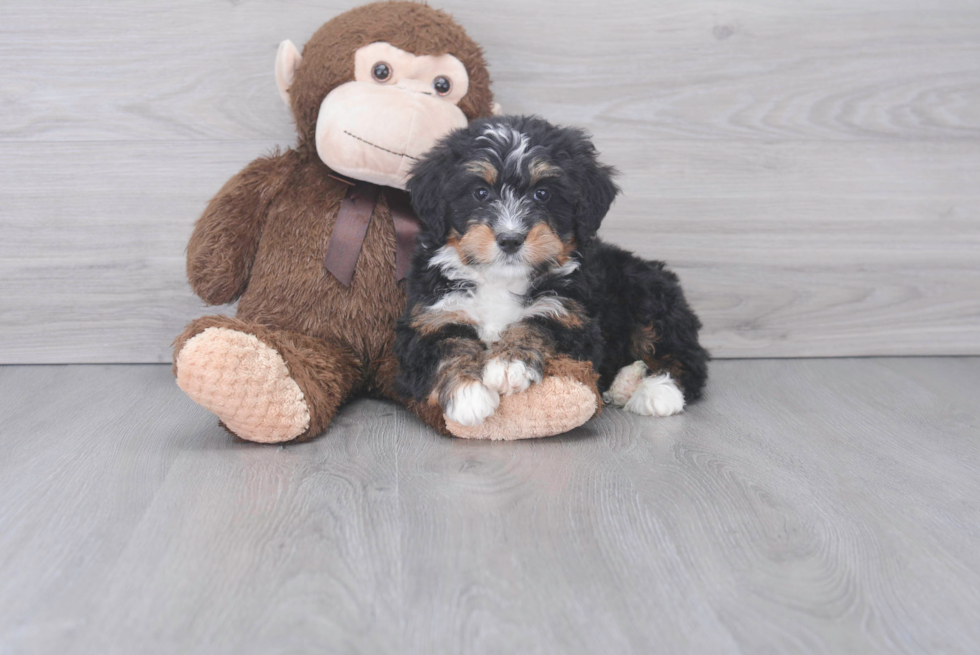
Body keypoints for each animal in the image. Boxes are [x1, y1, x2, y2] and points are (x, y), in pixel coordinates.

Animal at [394, 116, 708, 428]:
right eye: (480, 193)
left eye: (542, 194)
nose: (510, 239)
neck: (500, 279)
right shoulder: (430, 317)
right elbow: (446, 346)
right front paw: (468, 394)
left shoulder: (571, 315)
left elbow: (538, 324)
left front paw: (509, 364)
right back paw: (625, 383)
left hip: (648, 295)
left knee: (686, 356)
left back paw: (656, 391)